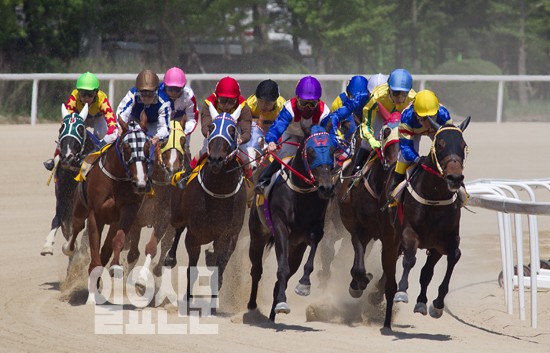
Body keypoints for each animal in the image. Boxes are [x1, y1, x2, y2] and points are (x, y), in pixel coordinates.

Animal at [41, 103, 99, 254]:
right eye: (61, 127)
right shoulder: (64, 200)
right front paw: (48, 245)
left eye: (81, 129)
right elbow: (59, 220)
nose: (67, 156)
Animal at [63, 117, 151, 302]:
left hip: (113, 221)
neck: (116, 180)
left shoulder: (128, 210)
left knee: (105, 249)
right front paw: (91, 295)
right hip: (79, 207)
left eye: (147, 146)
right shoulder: (95, 214)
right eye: (127, 147)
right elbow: (93, 244)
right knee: (77, 227)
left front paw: (115, 267)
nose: (140, 183)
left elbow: (118, 239)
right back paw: (68, 248)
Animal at [166, 104, 248, 310]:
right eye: (211, 127)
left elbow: (219, 269)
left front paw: (213, 303)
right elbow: (192, 268)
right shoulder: (195, 234)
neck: (219, 193)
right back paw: (170, 257)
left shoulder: (229, 236)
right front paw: (188, 299)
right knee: (178, 228)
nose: (216, 159)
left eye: (232, 130)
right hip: (177, 213)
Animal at [249, 125, 336, 320]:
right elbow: (282, 268)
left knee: (282, 277)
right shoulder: (280, 227)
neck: (301, 194)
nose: (327, 188)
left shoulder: (315, 230)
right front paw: (282, 303)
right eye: (310, 151)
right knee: (257, 269)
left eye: (332, 151)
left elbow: (310, 256)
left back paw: (273, 314)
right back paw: (252, 305)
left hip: (295, 248)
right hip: (257, 235)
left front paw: (303, 285)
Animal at [390, 117, 472, 326]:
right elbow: (410, 259)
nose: (455, 177)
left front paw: (435, 304)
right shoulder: (408, 233)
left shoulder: (443, 242)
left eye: (463, 145)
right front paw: (401, 291)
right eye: (440, 144)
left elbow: (451, 258)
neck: (434, 197)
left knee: (426, 272)